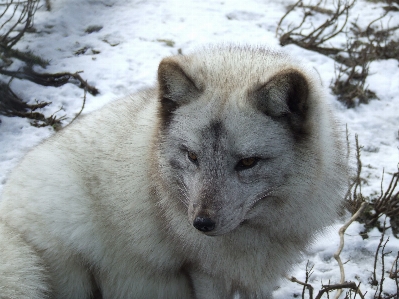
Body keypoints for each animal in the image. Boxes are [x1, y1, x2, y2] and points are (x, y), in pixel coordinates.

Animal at [0, 45, 346, 298]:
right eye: (192, 156)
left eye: (248, 162)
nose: (201, 224)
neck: (256, 231)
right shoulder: (203, 273)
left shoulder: (251, 278)